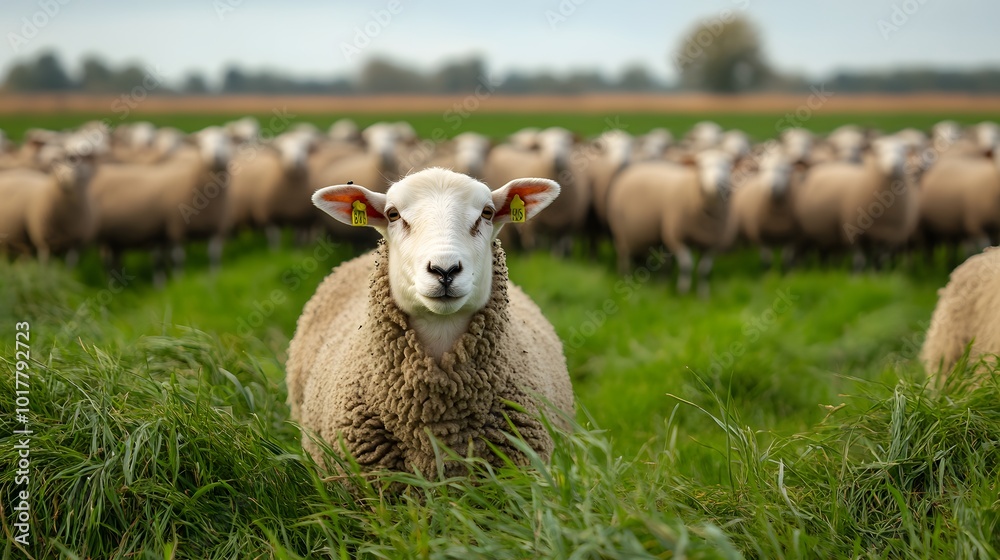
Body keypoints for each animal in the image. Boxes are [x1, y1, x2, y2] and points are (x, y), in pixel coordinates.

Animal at [0, 135, 97, 264]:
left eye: (79, 169)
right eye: (58, 166)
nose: (67, 180)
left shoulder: (76, 242)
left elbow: (70, 263)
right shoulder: (43, 238)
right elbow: (44, 262)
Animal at [90, 126, 233, 282]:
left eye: (225, 140)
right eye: (201, 144)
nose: (215, 157)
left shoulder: (217, 227)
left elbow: (214, 255)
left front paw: (215, 276)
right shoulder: (176, 227)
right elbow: (178, 258)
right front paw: (179, 280)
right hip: (106, 236)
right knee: (107, 261)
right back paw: (111, 282)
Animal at [607, 149, 734, 297]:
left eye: (728, 167)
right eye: (701, 167)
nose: (719, 184)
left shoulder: (711, 243)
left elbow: (704, 271)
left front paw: (703, 295)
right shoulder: (676, 237)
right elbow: (686, 266)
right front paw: (683, 292)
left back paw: (659, 282)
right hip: (620, 230)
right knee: (623, 253)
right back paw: (623, 275)